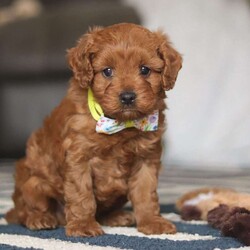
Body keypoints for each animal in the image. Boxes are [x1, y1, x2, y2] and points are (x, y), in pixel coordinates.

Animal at [5, 23, 182, 236]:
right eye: (107, 71)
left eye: (144, 70)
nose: (128, 97)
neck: (121, 124)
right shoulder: (78, 157)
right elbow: (82, 194)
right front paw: (83, 225)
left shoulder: (146, 159)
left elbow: (145, 193)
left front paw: (152, 222)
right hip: (33, 183)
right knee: (26, 210)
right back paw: (39, 218)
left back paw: (117, 217)